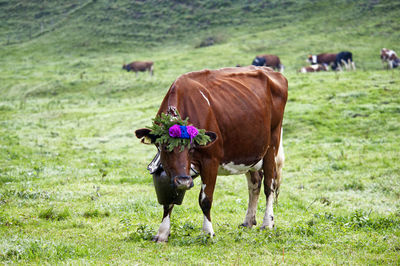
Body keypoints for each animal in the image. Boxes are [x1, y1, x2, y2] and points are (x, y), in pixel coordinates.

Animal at [135, 65, 288, 242]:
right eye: (165, 147)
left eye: (192, 147)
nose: (184, 181)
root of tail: (270, 71)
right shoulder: (173, 172)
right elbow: (169, 199)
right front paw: (162, 233)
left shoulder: (211, 160)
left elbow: (205, 199)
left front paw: (208, 232)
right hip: (249, 150)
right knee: (255, 183)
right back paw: (248, 221)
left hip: (272, 144)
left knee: (269, 185)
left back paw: (268, 223)